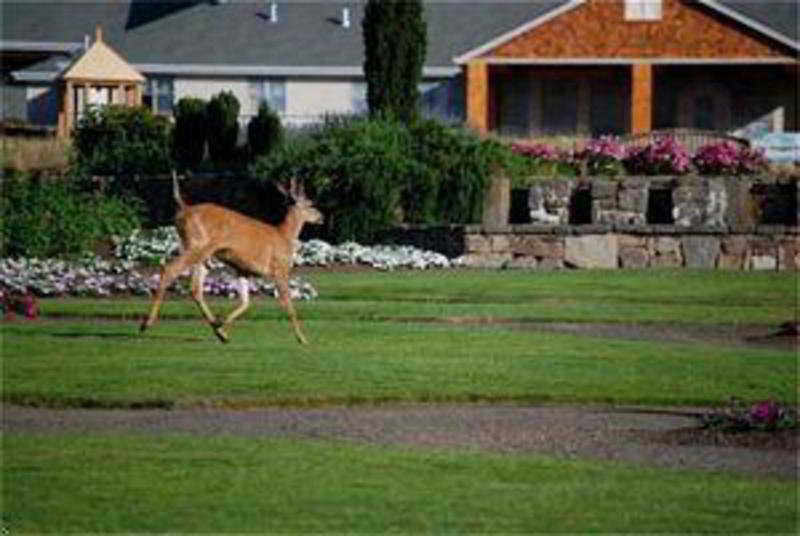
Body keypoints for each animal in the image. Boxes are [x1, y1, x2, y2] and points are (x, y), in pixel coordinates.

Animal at [140, 174, 322, 346]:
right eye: (310, 205)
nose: (322, 217)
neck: (284, 235)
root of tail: (184, 210)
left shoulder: (243, 270)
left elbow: (245, 303)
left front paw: (220, 327)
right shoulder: (280, 268)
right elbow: (288, 305)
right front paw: (303, 339)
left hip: (201, 254)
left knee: (195, 289)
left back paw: (220, 331)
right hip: (197, 245)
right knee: (169, 269)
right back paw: (146, 323)